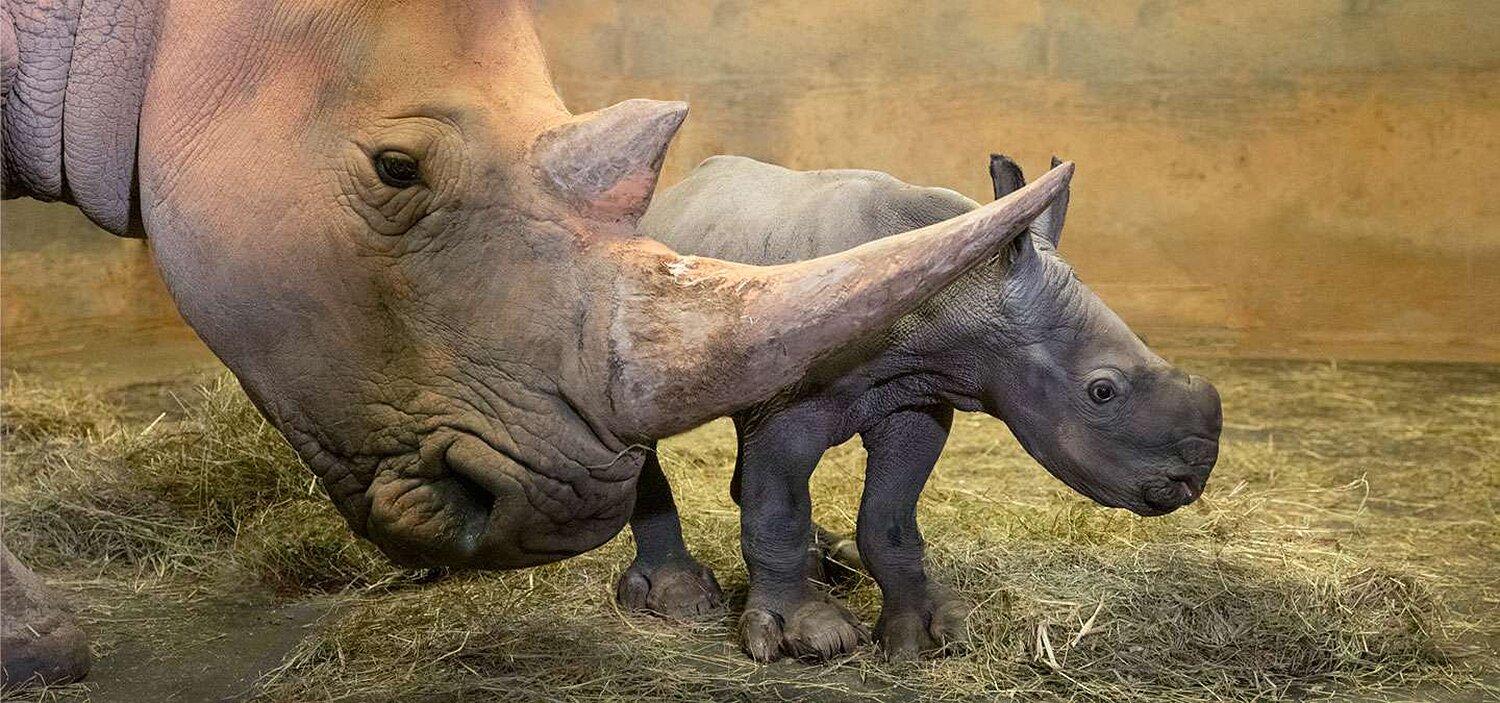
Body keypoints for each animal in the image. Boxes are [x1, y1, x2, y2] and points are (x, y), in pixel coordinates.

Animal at [626, 154, 1224, 661]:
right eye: (1102, 391)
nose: (1192, 478)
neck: (968, 291)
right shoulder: (787, 407)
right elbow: (778, 509)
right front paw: (810, 634)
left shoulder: (917, 400)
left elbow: (889, 517)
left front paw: (926, 634)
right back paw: (681, 597)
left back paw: (832, 563)